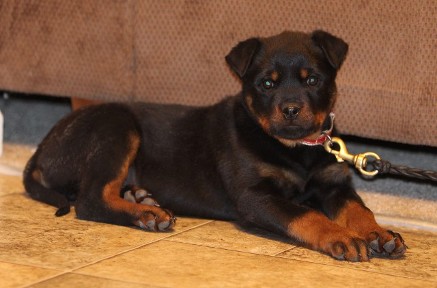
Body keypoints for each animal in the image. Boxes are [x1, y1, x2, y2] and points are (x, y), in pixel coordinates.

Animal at [23, 29, 406, 260]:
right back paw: (146, 214)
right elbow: (306, 214)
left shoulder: (334, 184)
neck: (297, 150)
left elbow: (359, 209)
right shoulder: (255, 195)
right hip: (116, 126)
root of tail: (41, 150)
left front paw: (378, 233)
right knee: (90, 200)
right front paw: (343, 237)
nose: (291, 109)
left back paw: (140, 197)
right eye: (267, 83)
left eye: (312, 80)